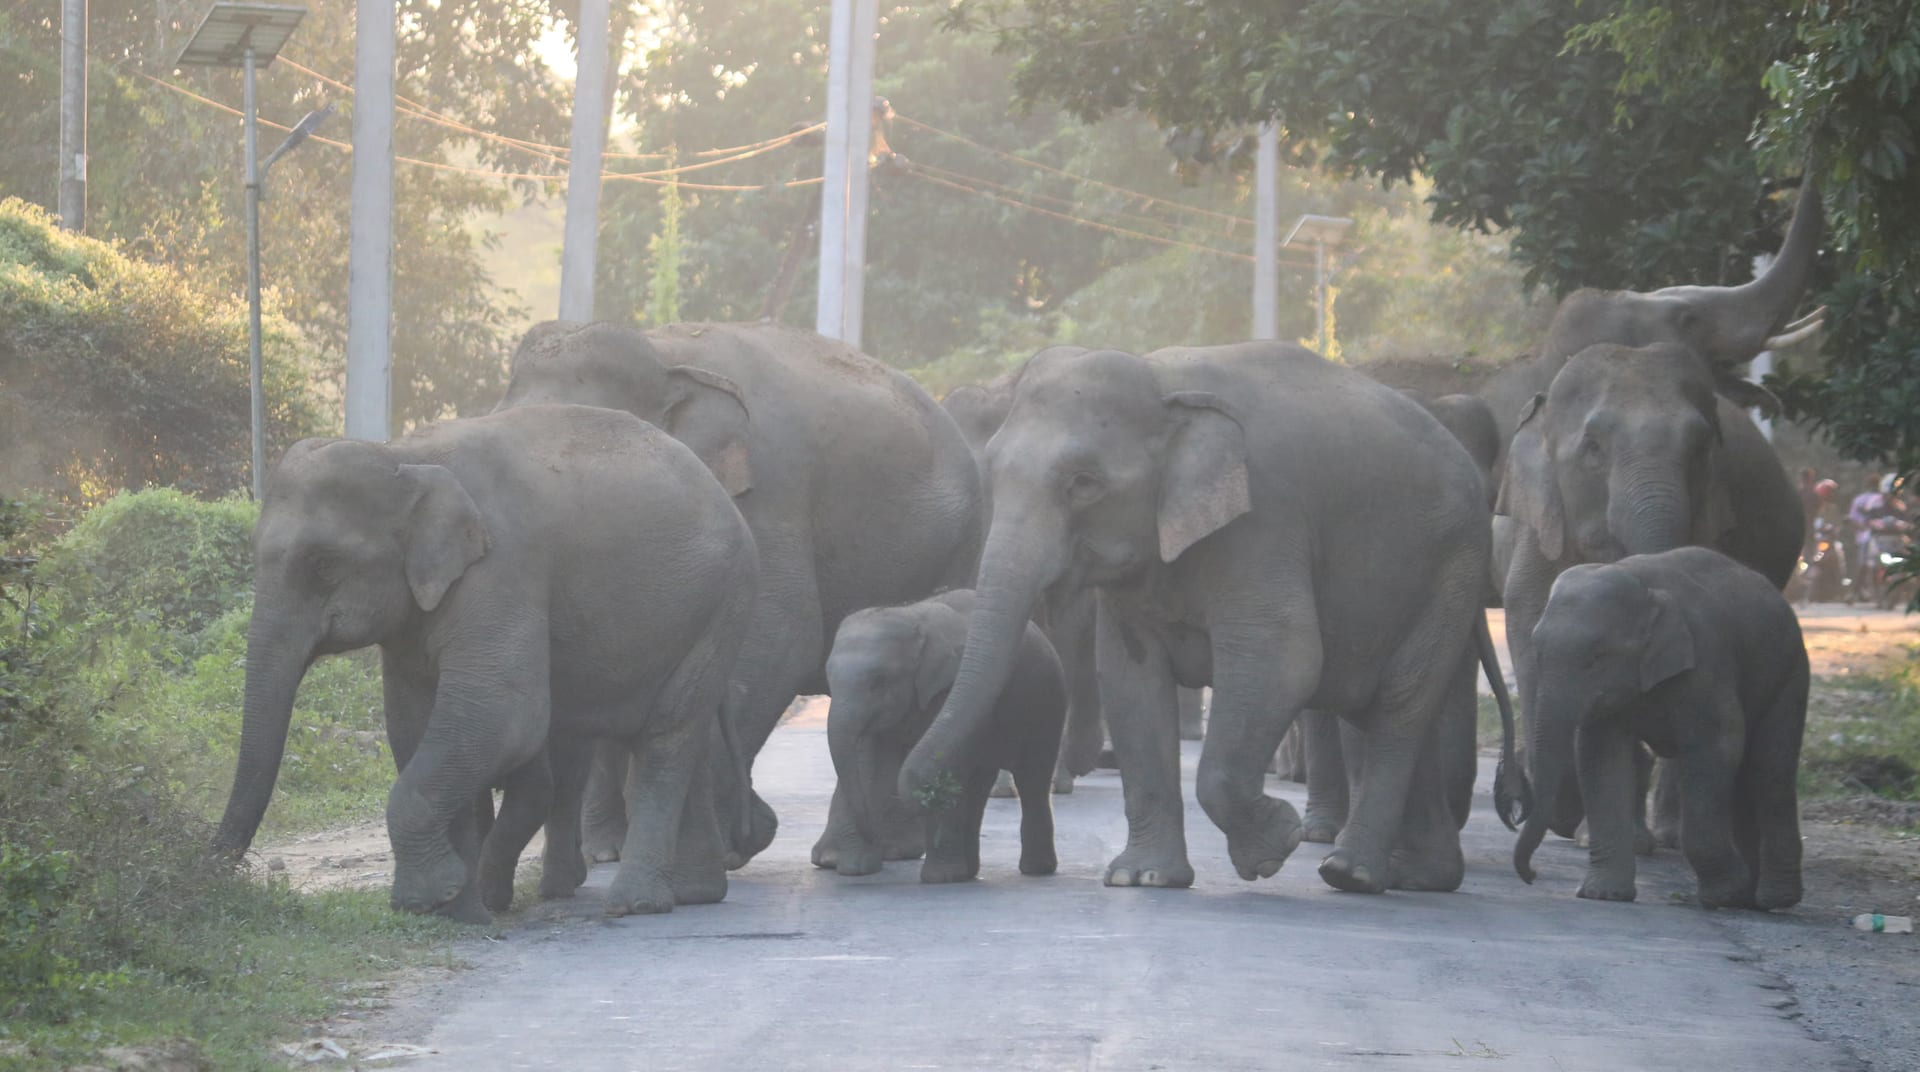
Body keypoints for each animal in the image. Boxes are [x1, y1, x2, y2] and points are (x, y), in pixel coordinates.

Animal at [211, 404, 757, 921]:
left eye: (323, 565)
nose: (217, 870)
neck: (401, 455)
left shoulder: (503, 568)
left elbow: (503, 716)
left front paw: (427, 899)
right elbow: (414, 723)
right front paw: (458, 912)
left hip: (719, 608)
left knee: (667, 738)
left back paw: (635, 904)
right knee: (683, 738)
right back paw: (695, 893)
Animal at [496, 320, 983, 868]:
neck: (666, 357)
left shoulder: (766, 489)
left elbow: (780, 639)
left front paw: (723, 848)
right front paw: (608, 851)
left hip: (958, 545)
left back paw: (856, 854)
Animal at [824, 589, 1066, 882]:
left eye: (878, 681)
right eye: (828, 678)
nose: (874, 836)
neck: (909, 615)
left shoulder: (946, 689)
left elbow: (948, 765)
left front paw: (940, 878)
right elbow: (871, 763)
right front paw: (856, 870)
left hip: (1047, 707)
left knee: (1032, 779)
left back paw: (1034, 869)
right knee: (980, 784)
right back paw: (970, 872)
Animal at [903, 341, 1523, 894]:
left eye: (1084, 483)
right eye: (994, 471)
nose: (918, 787)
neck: (1163, 382)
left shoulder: (1265, 518)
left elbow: (1285, 658)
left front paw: (1276, 844)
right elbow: (1129, 677)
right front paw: (1142, 878)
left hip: (1452, 564)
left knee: (1398, 705)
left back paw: (1353, 874)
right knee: (1387, 706)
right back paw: (1423, 878)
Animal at [1513, 547, 1807, 910]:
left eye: (1597, 657)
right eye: (1537, 651)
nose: (1531, 875)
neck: (1644, 588)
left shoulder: (1706, 663)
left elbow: (1718, 745)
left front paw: (1722, 893)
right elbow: (1600, 755)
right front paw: (1603, 894)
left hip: (1790, 674)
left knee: (1770, 770)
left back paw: (1774, 899)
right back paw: (1750, 900)